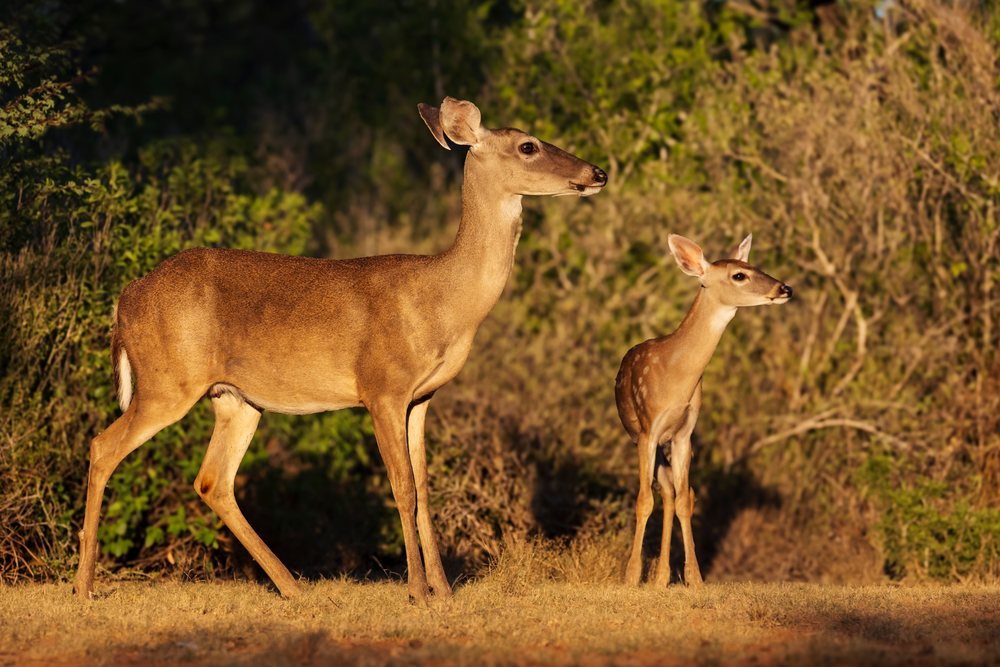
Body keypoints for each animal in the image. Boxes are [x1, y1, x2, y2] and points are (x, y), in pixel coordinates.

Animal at [73, 97, 608, 604]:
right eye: (528, 146)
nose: (597, 173)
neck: (444, 303)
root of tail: (127, 297)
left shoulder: (421, 398)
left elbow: (425, 488)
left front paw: (445, 589)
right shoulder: (382, 387)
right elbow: (403, 488)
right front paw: (417, 592)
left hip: (235, 398)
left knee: (212, 480)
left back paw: (293, 586)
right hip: (167, 382)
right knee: (103, 447)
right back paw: (84, 585)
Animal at [615, 233, 791, 587]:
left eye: (755, 266)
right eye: (739, 275)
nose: (785, 289)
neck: (676, 377)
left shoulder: (685, 431)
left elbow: (685, 499)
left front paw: (694, 578)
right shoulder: (648, 429)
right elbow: (643, 500)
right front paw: (630, 576)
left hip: (672, 444)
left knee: (674, 492)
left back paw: (662, 576)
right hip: (646, 439)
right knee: (662, 491)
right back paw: (654, 575)